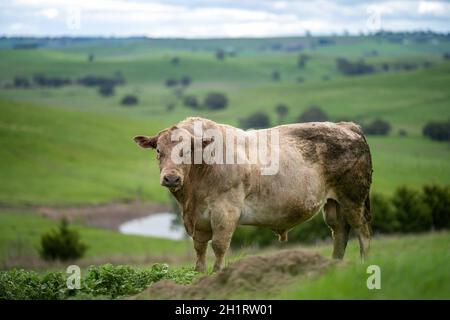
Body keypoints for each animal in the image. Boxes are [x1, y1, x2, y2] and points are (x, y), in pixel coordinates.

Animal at [134, 116, 372, 272]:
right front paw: (199, 277)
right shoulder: (198, 219)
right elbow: (199, 249)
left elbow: (219, 246)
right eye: (158, 151)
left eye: (187, 151)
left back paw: (364, 265)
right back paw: (334, 265)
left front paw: (217, 276)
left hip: (353, 199)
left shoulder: (225, 212)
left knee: (363, 232)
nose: (171, 178)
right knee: (339, 232)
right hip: (333, 204)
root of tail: (346, 126)